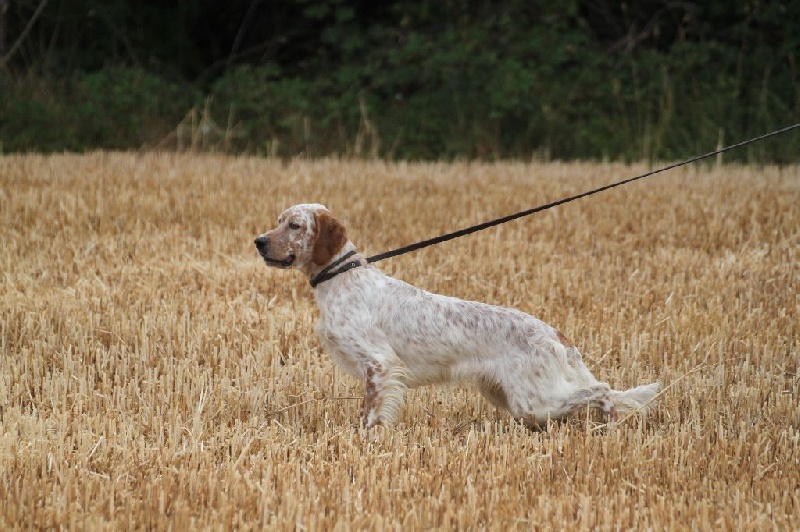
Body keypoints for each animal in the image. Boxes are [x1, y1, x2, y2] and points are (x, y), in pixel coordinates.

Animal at [253, 203, 660, 428]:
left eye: (295, 225)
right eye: (278, 220)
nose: (259, 242)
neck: (342, 279)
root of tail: (554, 334)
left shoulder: (379, 364)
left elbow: (370, 415)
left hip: (533, 400)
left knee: (602, 390)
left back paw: (609, 425)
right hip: (518, 401)